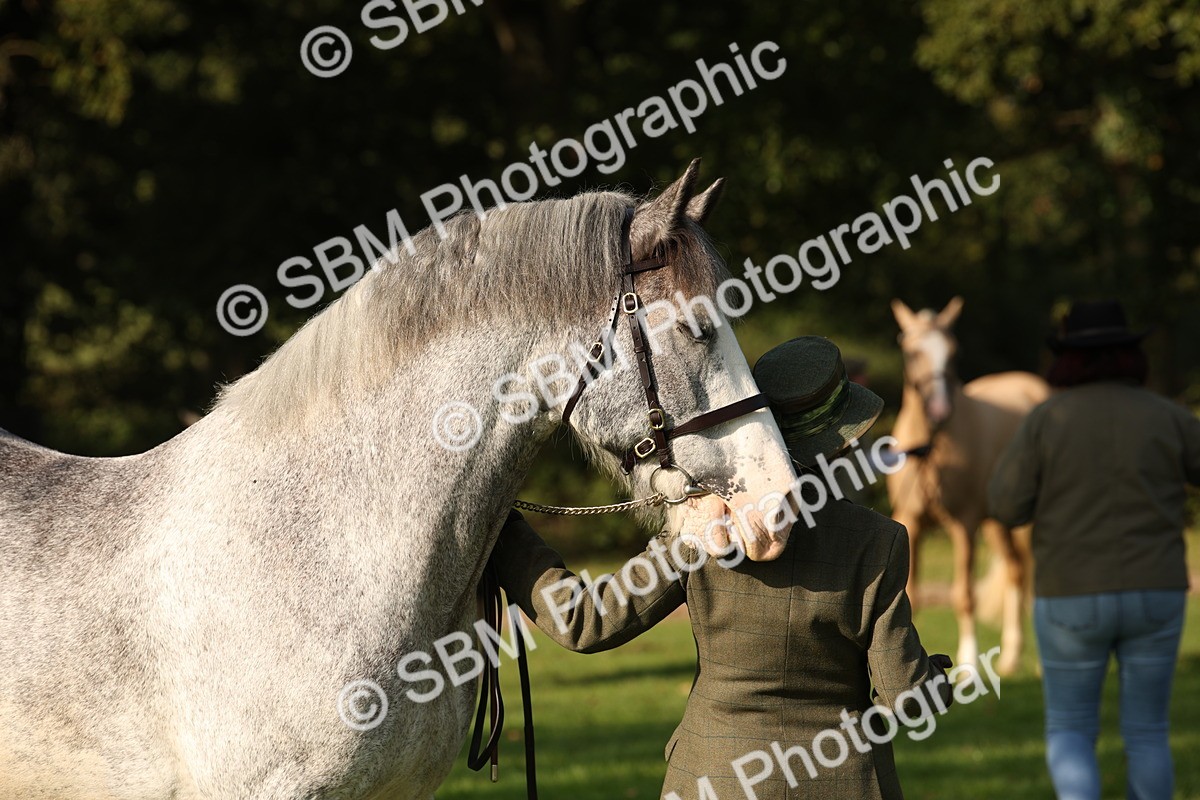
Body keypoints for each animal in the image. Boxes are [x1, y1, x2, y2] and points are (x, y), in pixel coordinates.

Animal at [887, 297, 1049, 675]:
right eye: (912, 351)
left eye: (954, 352)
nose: (939, 409)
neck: (933, 446)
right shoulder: (912, 522)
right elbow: (912, 594)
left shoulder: (963, 524)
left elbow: (964, 595)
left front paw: (969, 665)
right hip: (996, 525)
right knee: (1016, 573)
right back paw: (1011, 658)